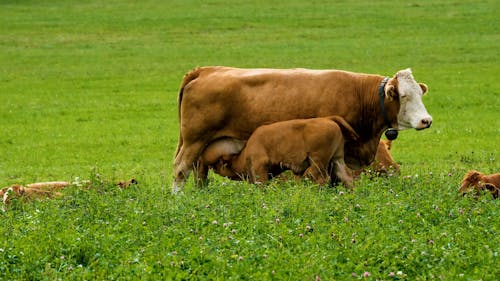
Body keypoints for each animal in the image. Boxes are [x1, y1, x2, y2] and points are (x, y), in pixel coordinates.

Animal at [200, 115, 360, 187]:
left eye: (219, 164)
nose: (212, 168)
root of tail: (328, 119)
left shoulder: (260, 167)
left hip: (318, 162)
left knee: (319, 178)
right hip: (337, 160)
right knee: (347, 178)